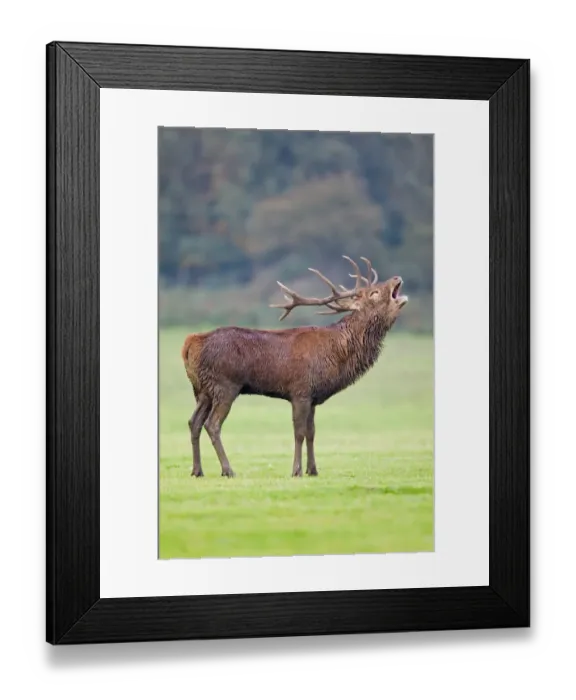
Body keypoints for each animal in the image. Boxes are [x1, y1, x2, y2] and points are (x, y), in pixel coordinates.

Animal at [181, 255, 409, 478]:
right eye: (374, 293)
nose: (397, 277)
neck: (336, 354)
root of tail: (191, 342)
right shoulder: (300, 391)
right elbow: (299, 432)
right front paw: (297, 470)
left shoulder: (313, 397)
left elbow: (311, 432)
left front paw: (313, 469)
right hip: (225, 385)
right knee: (212, 424)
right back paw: (227, 470)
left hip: (203, 390)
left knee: (194, 422)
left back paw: (197, 470)